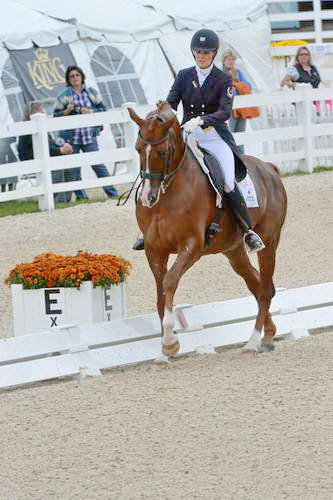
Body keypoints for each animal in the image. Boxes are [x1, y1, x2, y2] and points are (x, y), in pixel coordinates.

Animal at [128, 101, 286, 358]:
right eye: (138, 149)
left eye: (163, 152)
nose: (147, 198)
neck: (169, 193)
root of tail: (270, 169)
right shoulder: (154, 249)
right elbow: (161, 295)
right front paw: (164, 351)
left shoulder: (192, 246)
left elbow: (170, 281)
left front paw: (170, 342)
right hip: (234, 251)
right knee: (257, 285)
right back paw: (268, 335)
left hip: (269, 243)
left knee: (264, 289)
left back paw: (253, 342)